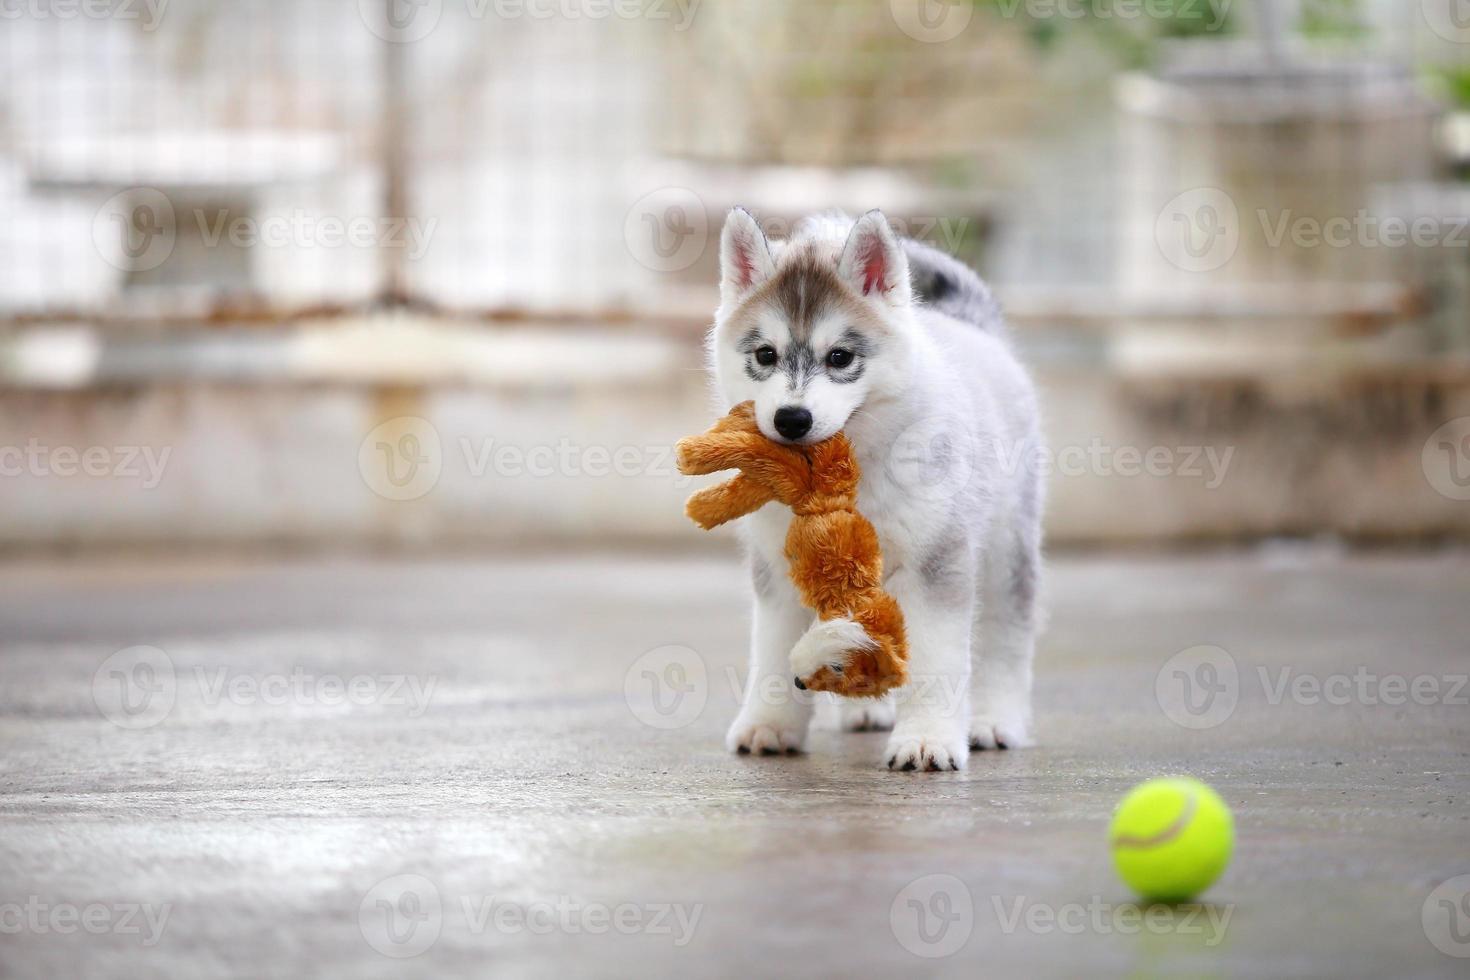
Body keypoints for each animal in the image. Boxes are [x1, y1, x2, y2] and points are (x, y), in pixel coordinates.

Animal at [702, 208, 1040, 775]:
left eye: (840, 357)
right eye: (765, 355)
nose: (791, 419)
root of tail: (971, 326)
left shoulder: (934, 566)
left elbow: (935, 663)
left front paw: (926, 739)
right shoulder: (781, 571)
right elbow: (772, 651)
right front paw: (770, 724)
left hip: (1006, 546)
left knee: (1005, 634)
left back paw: (997, 719)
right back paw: (863, 708)